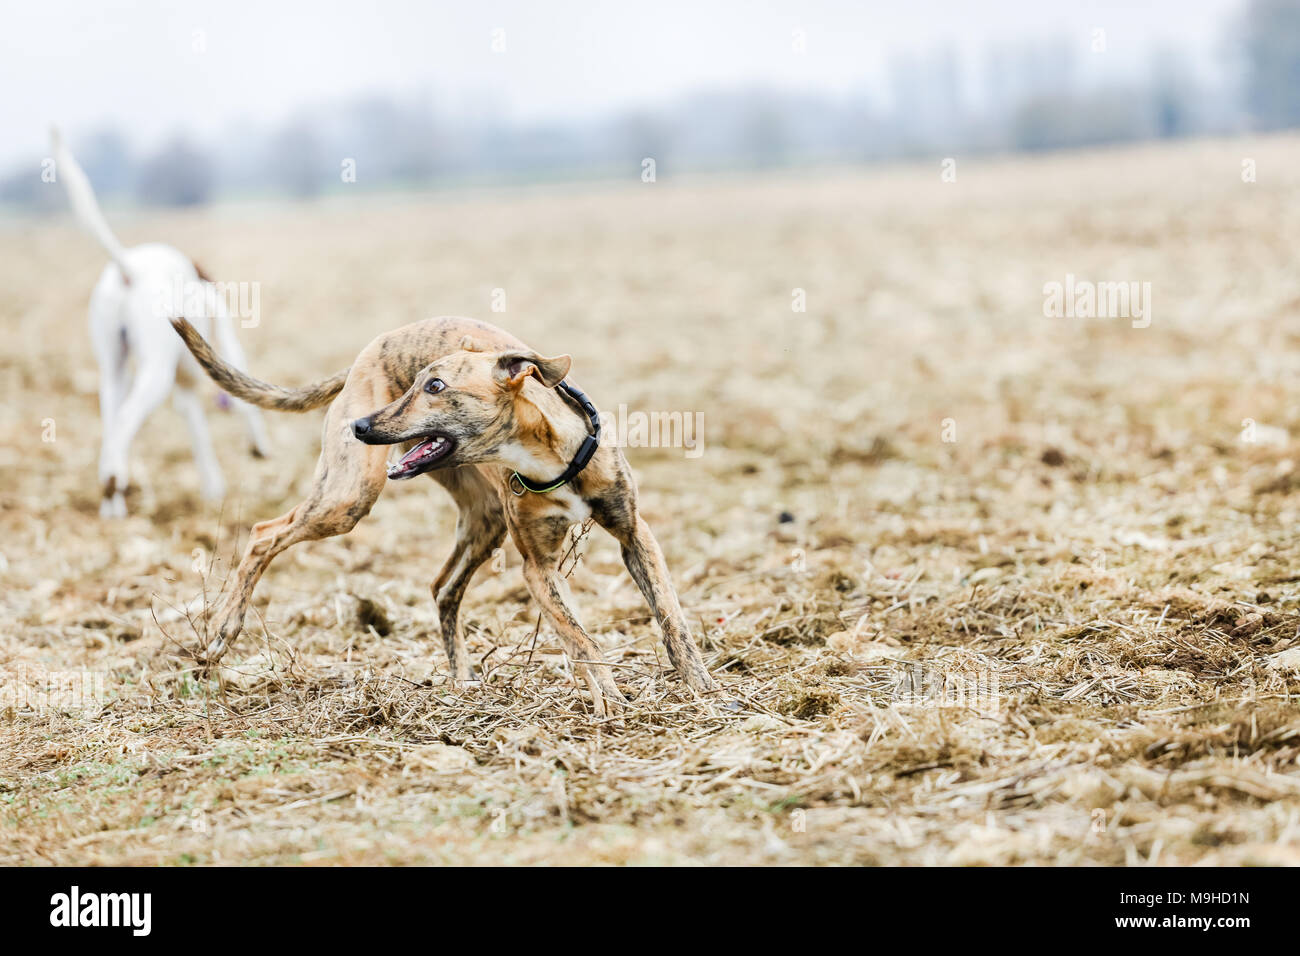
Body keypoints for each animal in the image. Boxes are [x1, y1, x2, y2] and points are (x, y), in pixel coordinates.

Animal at [52, 128, 270, 515]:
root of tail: (130, 270)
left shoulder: (188, 386)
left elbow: (198, 432)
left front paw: (213, 487)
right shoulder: (226, 345)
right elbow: (247, 402)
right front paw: (259, 446)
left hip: (114, 372)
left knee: (112, 428)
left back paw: (112, 504)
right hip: (155, 373)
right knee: (124, 425)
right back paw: (114, 482)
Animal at [169, 317, 717, 712]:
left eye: (434, 386)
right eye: (414, 385)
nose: (361, 426)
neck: (549, 457)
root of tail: (365, 355)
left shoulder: (635, 535)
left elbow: (672, 618)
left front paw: (704, 689)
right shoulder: (537, 569)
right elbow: (580, 636)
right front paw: (612, 700)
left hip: (483, 523)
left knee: (443, 587)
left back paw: (463, 681)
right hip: (348, 497)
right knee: (265, 532)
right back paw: (221, 631)